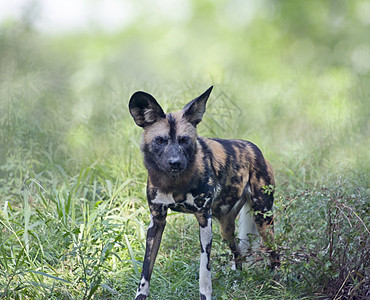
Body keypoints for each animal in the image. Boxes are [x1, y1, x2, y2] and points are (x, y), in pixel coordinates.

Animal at [129, 85, 278, 298]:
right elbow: (145, 270)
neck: (174, 183)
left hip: (263, 219)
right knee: (238, 253)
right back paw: (237, 282)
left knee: (275, 252)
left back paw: (277, 283)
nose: (175, 162)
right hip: (226, 228)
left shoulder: (204, 220)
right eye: (160, 140)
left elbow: (204, 272)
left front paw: (205, 296)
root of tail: (255, 149)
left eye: (184, 140)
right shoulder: (157, 221)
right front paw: (140, 295)